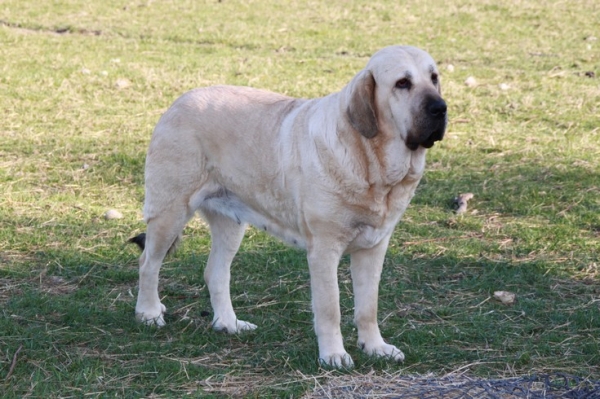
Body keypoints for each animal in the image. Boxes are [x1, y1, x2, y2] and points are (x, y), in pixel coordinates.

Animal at [131, 46, 448, 368]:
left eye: (434, 78)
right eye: (402, 83)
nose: (440, 108)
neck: (372, 162)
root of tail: (178, 102)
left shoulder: (373, 249)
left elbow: (367, 307)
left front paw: (375, 347)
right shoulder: (324, 250)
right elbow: (330, 307)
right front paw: (333, 355)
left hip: (230, 224)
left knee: (215, 272)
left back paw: (229, 324)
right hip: (170, 212)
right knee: (148, 263)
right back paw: (149, 313)